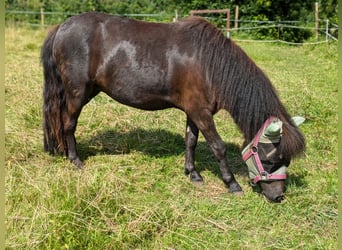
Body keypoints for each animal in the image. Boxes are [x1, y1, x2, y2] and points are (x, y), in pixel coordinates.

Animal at [41, 12, 306, 203]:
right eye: (272, 159)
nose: (278, 197)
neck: (209, 63)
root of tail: (61, 27)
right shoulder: (201, 113)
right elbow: (218, 147)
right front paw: (232, 184)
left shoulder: (194, 111)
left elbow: (191, 141)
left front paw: (193, 174)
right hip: (77, 93)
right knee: (68, 123)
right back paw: (74, 159)